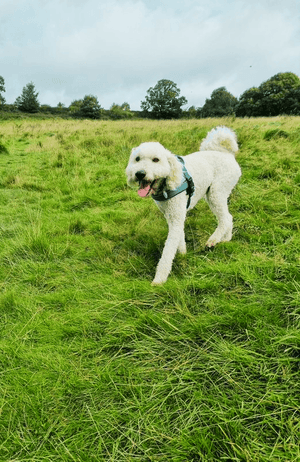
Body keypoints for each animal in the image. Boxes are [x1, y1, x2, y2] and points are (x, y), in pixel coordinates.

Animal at [126, 126, 241, 286]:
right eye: (137, 159)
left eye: (156, 160)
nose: (140, 173)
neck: (165, 185)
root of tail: (226, 154)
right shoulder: (172, 215)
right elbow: (179, 237)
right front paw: (182, 254)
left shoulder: (176, 215)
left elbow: (168, 251)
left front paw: (159, 279)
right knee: (229, 217)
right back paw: (225, 239)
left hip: (216, 193)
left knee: (225, 218)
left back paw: (212, 240)